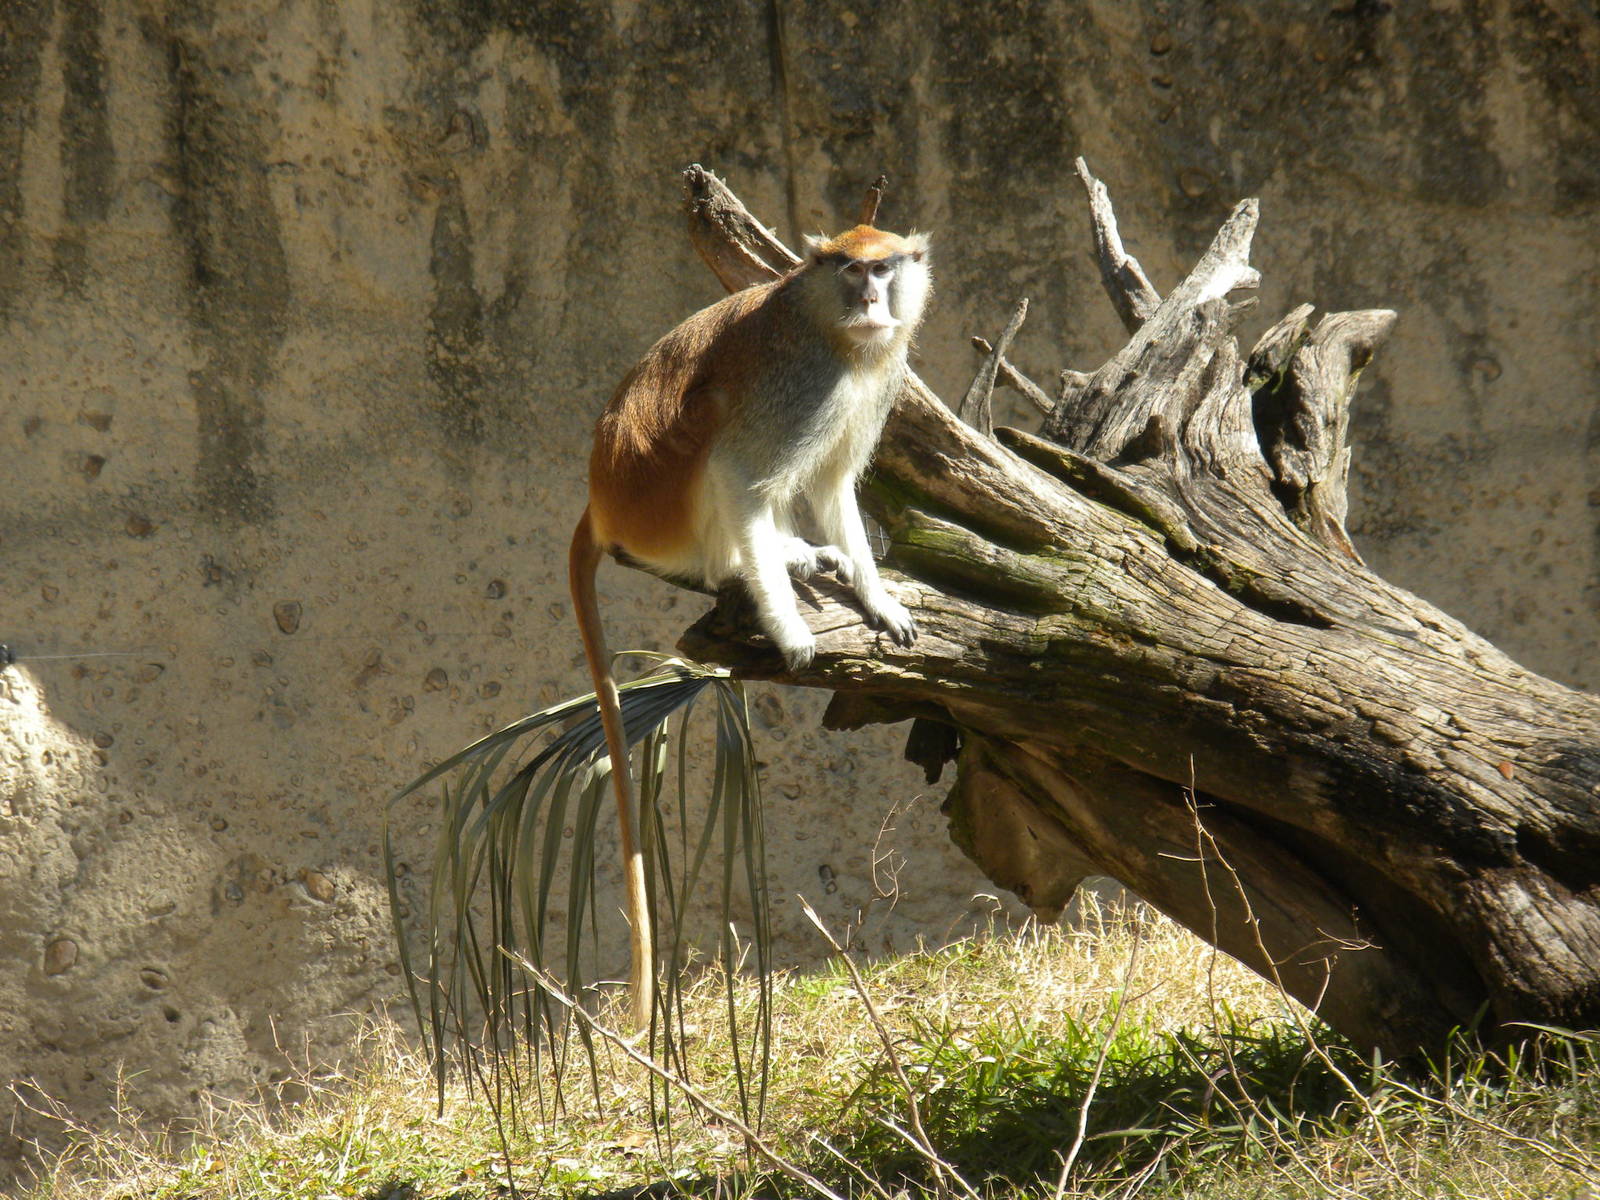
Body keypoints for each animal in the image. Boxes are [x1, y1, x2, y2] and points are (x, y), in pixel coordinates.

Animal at [569, 195, 931, 1028]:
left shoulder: (870, 382)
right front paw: (788, 625)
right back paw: (754, 568)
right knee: (715, 438)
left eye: (884, 268)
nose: (871, 298)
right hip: (659, 493)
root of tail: (601, 502)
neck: (826, 325)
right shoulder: (801, 384)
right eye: (849, 269)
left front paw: (875, 594)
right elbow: (741, 473)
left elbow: (834, 486)